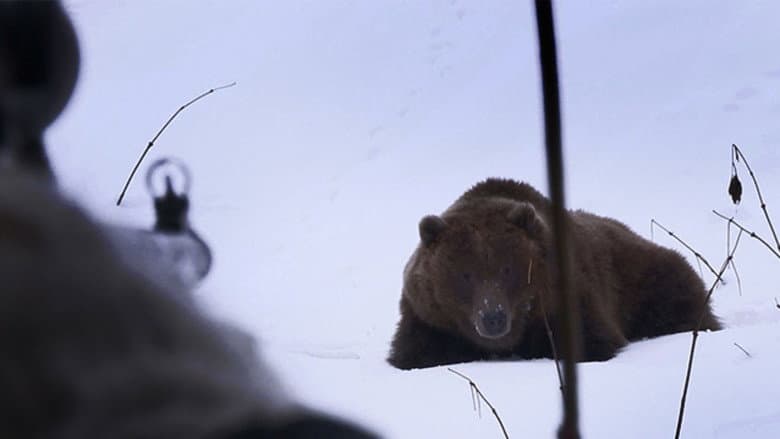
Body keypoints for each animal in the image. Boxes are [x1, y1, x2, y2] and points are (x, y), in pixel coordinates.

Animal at [387, 178, 721, 370]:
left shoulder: (568, 297)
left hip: (650, 280)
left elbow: (590, 343)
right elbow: (416, 354)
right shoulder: (429, 317)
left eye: (507, 269)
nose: (493, 317)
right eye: (465, 274)